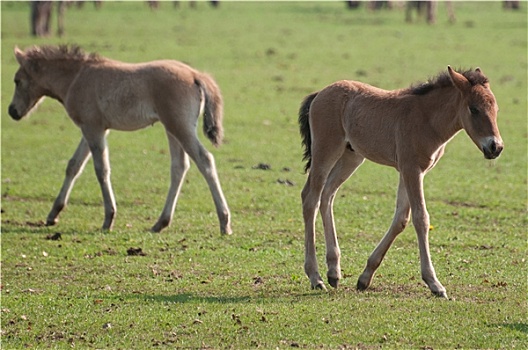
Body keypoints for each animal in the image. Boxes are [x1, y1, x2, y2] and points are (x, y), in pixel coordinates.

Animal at [302, 67, 504, 296]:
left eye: (496, 108)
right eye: (474, 109)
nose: (495, 147)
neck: (426, 119)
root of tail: (319, 94)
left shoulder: (412, 172)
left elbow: (401, 219)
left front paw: (365, 278)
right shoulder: (411, 170)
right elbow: (420, 218)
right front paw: (434, 283)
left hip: (351, 157)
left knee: (327, 194)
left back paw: (333, 272)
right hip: (325, 151)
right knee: (310, 198)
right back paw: (315, 276)